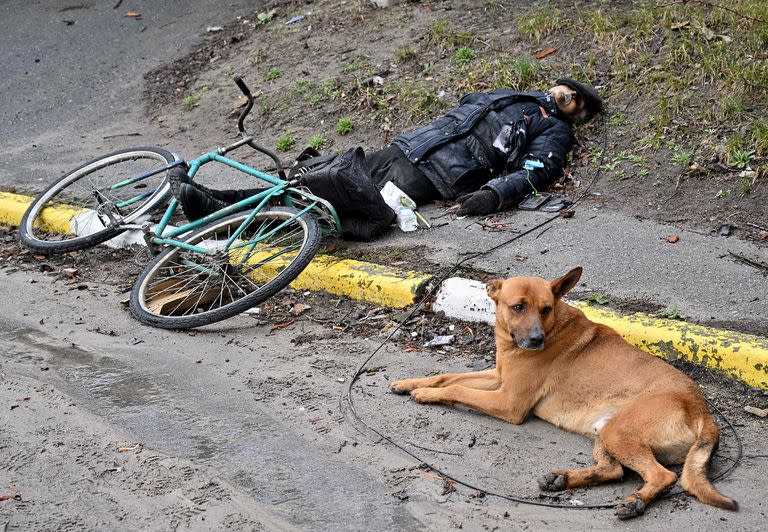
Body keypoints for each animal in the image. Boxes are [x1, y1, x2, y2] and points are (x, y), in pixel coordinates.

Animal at [392, 268, 736, 516]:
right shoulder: (498, 378)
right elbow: (447, 376)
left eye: (546, 308)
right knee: (613, 470)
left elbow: (458, 388)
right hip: (606, 431)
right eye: (518, 307)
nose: (535, 340)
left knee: (663, 476)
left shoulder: (507, 401)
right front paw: (411, 383)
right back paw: (563, 479)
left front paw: (426, 395)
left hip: (619, 431)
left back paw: (635, 501)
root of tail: (703, 411)